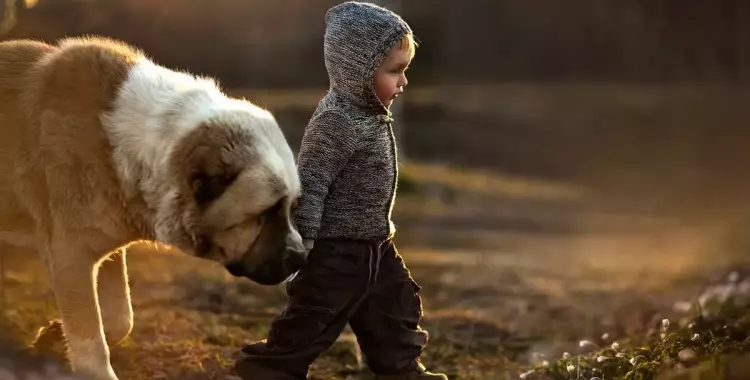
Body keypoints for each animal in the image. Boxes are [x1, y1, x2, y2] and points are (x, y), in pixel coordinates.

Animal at [0, 36, 308, 380]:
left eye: (292, 207)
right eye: (265, 214)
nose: (301, 257)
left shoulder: (103, 248)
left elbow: (120, 318)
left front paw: (55, 334)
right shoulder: (70, 255)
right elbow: (90, 336)